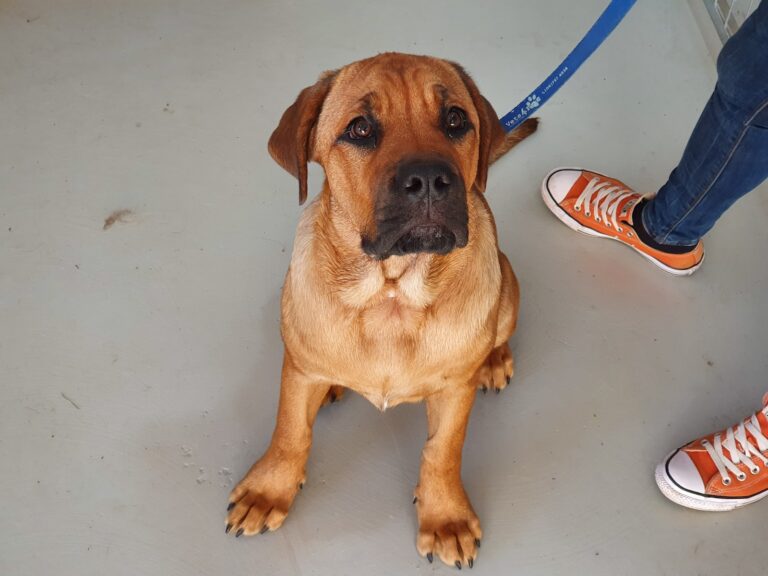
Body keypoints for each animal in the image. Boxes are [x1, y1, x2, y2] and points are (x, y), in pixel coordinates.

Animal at [225, 53, 536, 568]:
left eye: (456, 120)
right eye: (360, 129)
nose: (429, 180)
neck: (391, 295)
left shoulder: (455, 391)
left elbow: (443, 452)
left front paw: (445, 516)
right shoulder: (299, 368)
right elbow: (290, 432)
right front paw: (269, 489)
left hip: (508, 284)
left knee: (499, 331)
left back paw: (494, 359)